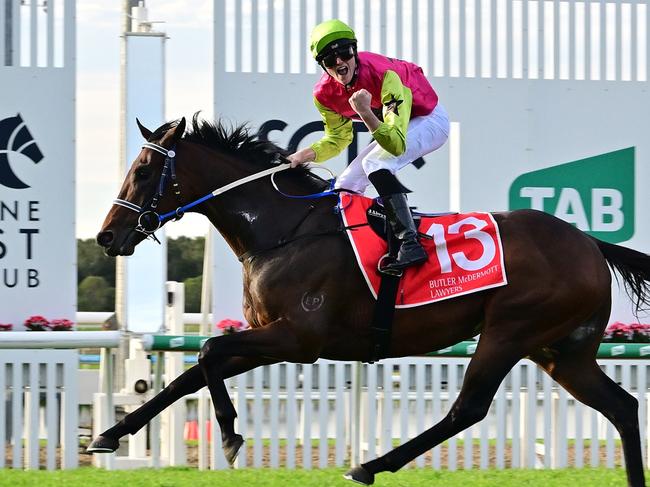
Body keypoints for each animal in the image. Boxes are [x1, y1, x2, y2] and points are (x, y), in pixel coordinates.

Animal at [87, 116, 648, 486]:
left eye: (143, 170)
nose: (107, 237)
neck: (284, 230)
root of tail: (588, 242)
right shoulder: (268, 338)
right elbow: (188, 376)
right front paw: (109, 435)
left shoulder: (297, 339)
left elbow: (205, 353)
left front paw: (228, 435)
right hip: (561, 350)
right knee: (623, 405)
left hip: (511, 332)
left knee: (468, 408)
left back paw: (368, 465)